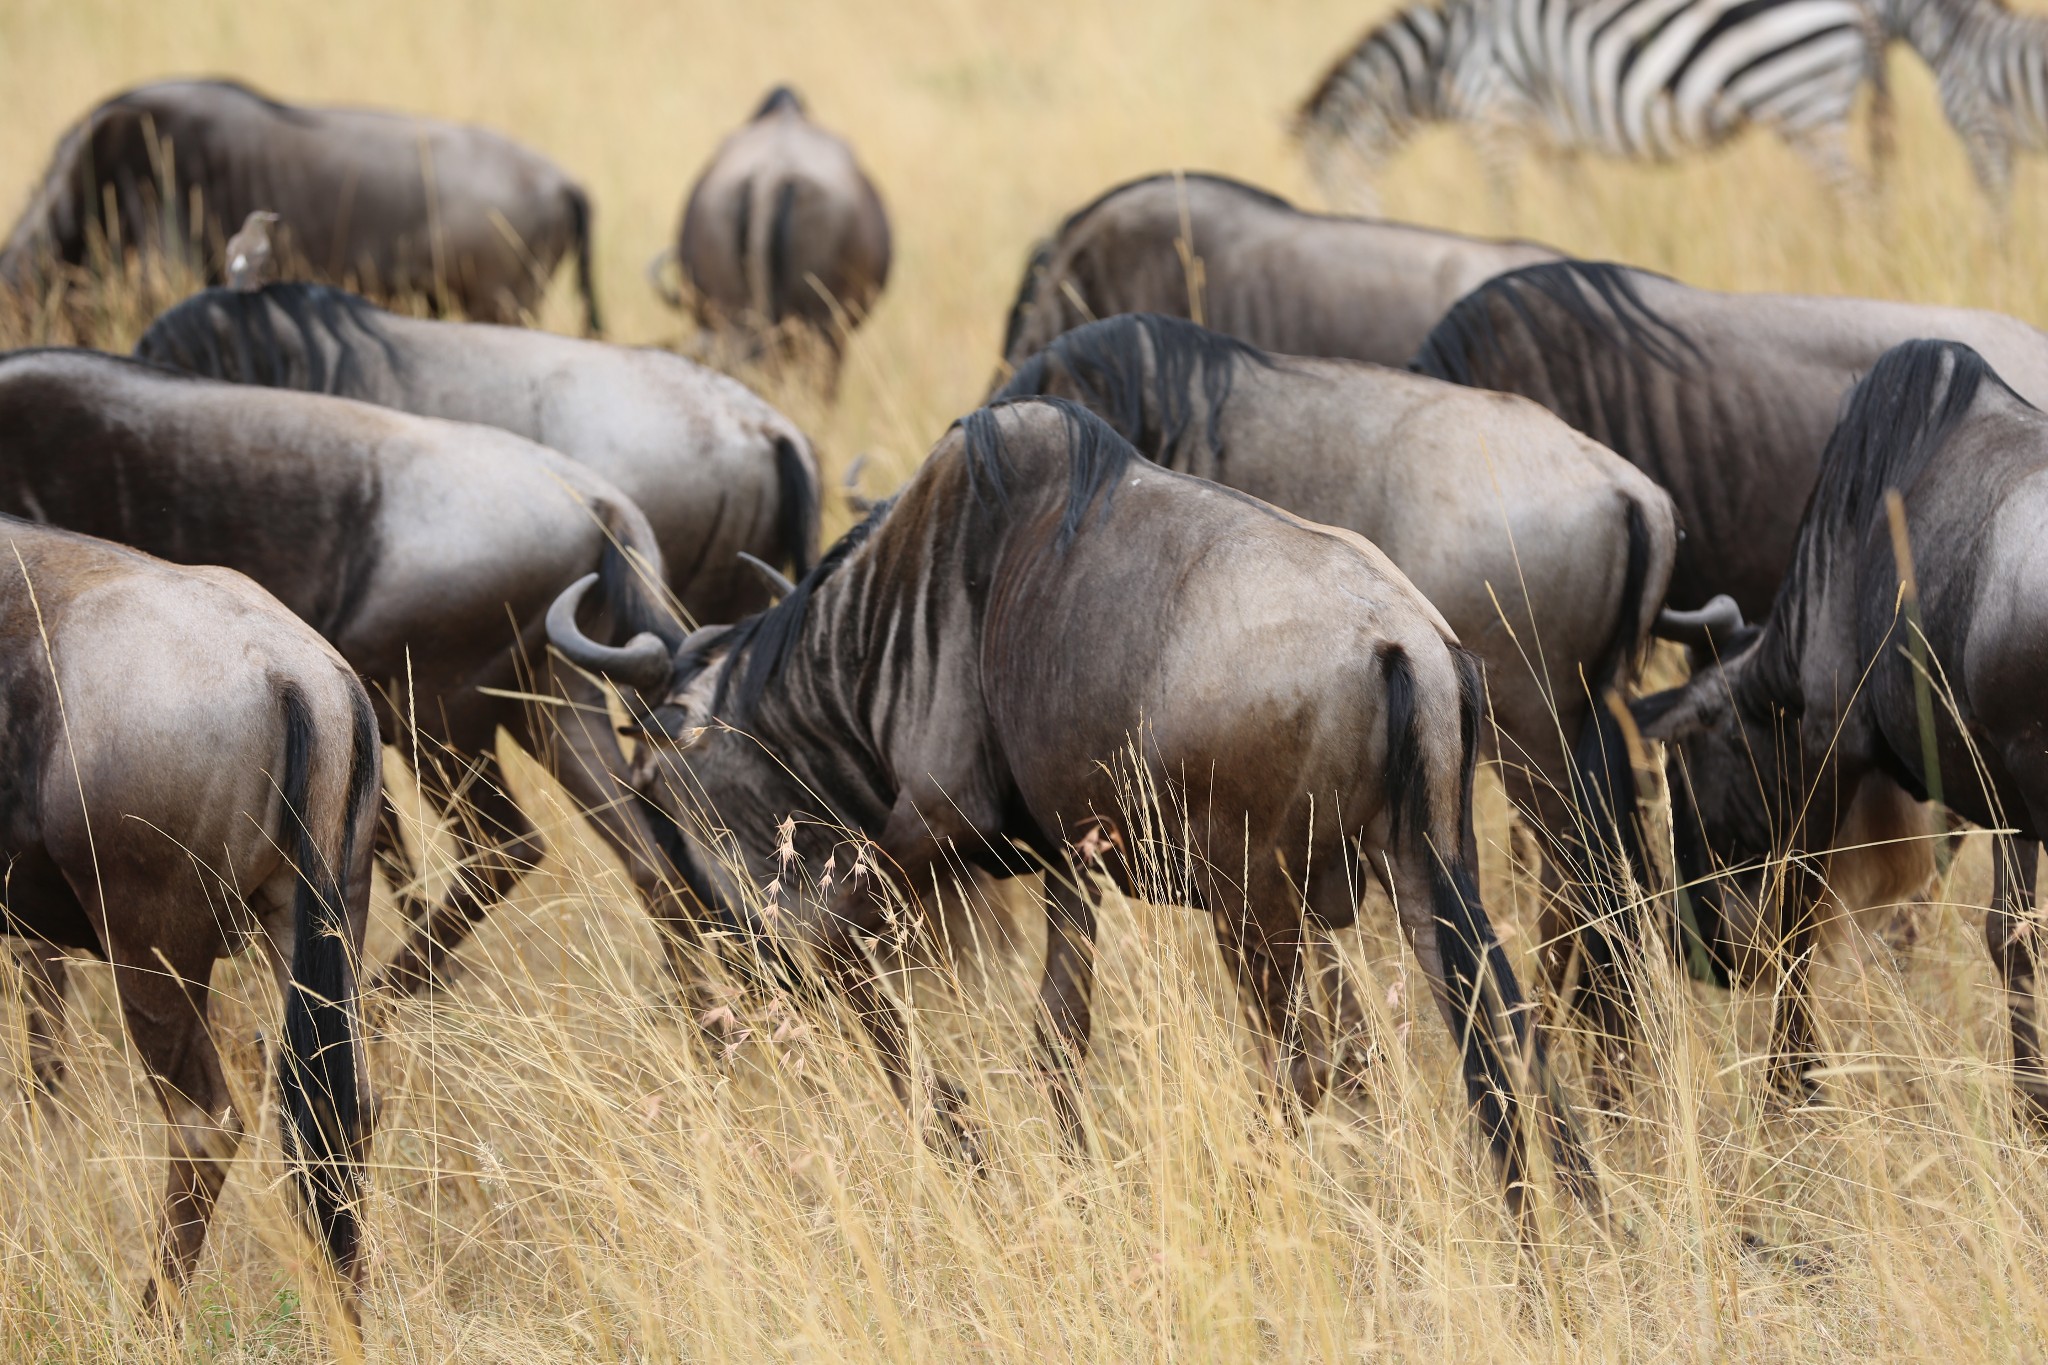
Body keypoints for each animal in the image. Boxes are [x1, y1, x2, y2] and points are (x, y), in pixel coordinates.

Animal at [1294, 0, 1884, 208]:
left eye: (1328, 190)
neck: (1445, 60)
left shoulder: (1495, 120)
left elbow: (1503, 204)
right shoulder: (1555, 144)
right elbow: (1579, 207)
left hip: (1802, 101)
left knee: (1859, 197)